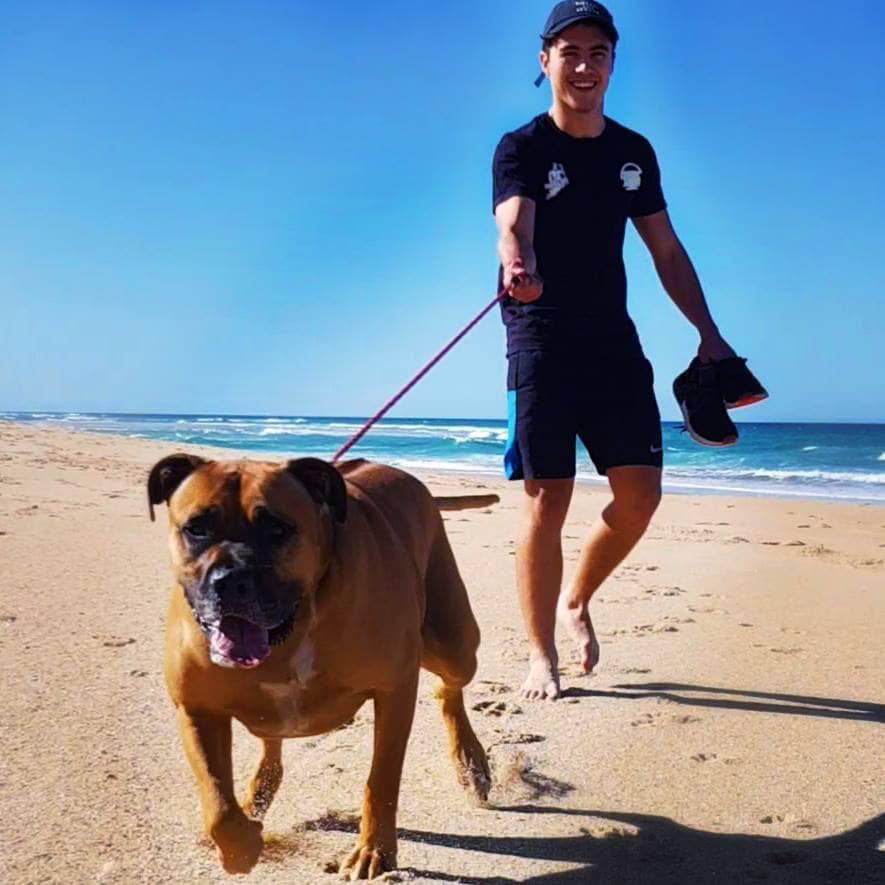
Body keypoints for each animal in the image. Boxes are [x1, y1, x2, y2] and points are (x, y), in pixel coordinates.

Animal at [150, 456, 498, 876]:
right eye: (197, 528)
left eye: (277, 529)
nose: (231, 580)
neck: (292, 631)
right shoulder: (196, 708)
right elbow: (218, 804)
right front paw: (241, 845)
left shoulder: (395, 690)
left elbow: (381, 780)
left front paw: (375, 850)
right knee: (271, 746)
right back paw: (256, 801)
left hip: (452, 640)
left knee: (448, 687)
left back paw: (471, 765)